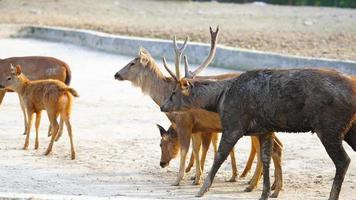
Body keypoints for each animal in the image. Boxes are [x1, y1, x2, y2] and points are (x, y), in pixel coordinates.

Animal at [116, 26, 284, 195]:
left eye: (132, 63)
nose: (116, 74)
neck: (166, 94)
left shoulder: (185, 123)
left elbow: (186, 150)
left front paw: (179, 179)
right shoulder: (197, 127)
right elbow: (197, 149)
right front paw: (197, 177)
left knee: (270, 148)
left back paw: (256, 185)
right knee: (275, 147)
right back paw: (272, 187)